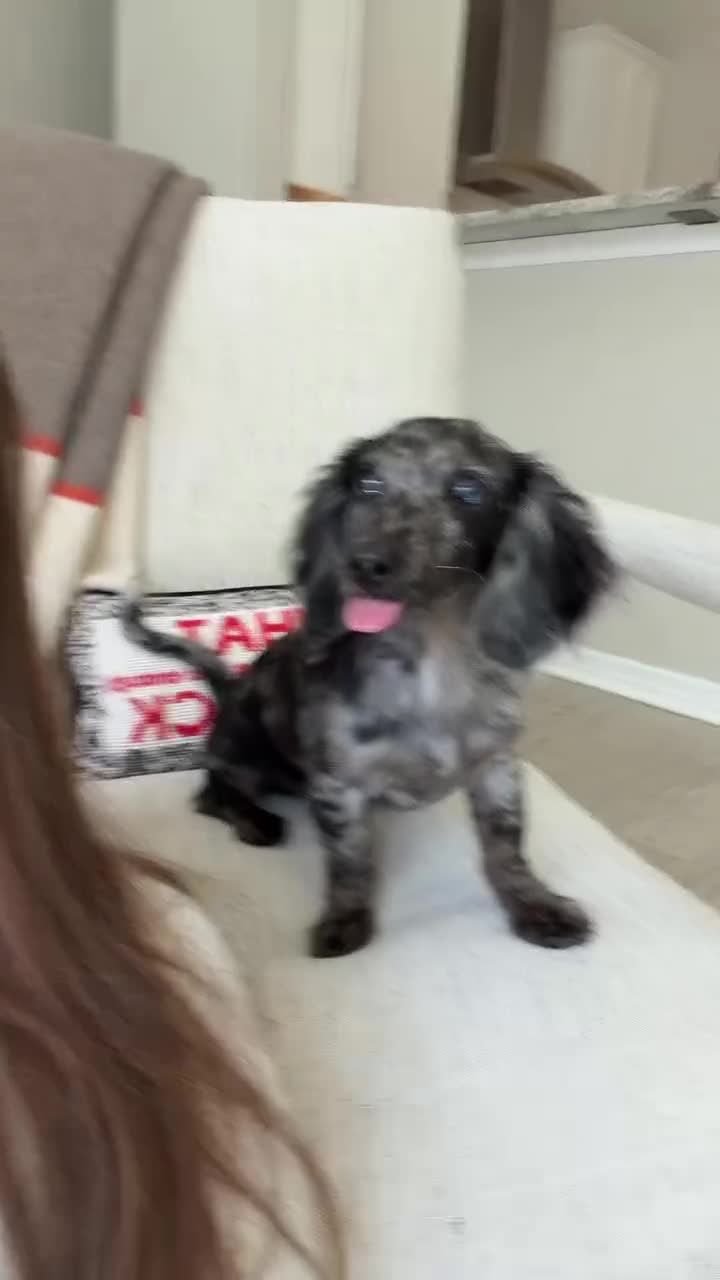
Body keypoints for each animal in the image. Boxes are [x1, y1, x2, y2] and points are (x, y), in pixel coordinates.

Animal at [125, 417, 614, 959]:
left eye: (469, 489)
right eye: (367, 484)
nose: (364, 564)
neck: (433, 662)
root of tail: (231, 692)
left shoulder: (498, 767)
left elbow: (506, 846)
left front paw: (535, 905)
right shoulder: (340, 785)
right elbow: (350, 859)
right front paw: (345, 919)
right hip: (246, 755)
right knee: (212, 790)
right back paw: (254, 819)